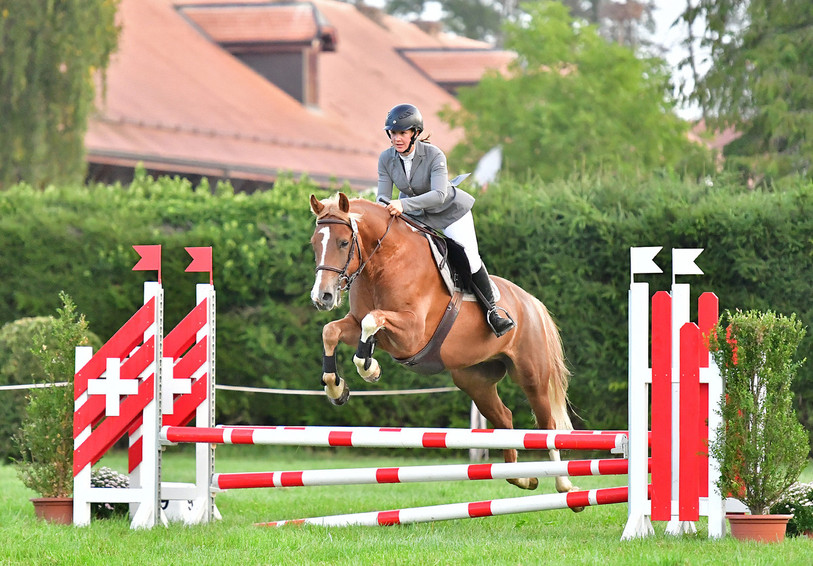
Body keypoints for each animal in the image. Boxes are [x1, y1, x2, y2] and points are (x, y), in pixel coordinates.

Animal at [309, 192, 579, 498]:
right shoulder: (357, 325)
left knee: (547, 424)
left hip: (532, 375)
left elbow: (371, 320)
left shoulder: (411, 333)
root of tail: (532, 302)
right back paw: (521, 478)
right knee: (504, 417)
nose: (322, 297)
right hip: (474, 380)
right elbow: (331, 331)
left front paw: (370, 368)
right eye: (315, 243)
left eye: (344, 242)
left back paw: (564, 485)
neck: (383, 263)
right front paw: (336, 387)